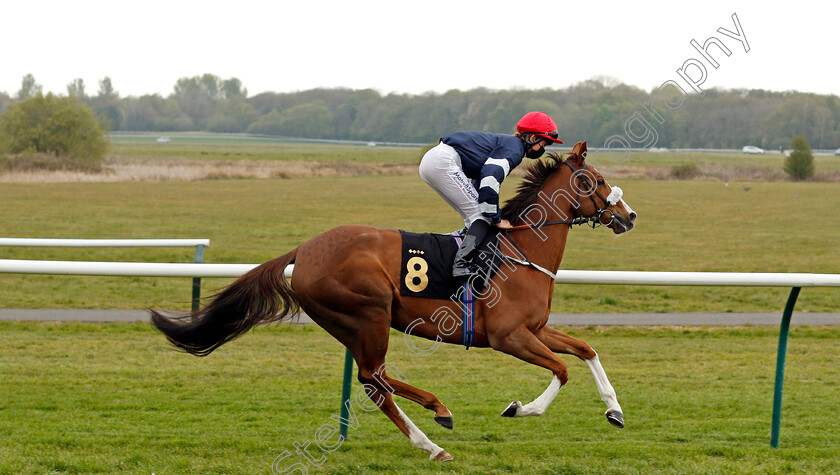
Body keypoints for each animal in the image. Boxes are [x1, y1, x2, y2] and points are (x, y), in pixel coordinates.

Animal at [151, 140, 636, 462]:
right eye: (596, 180)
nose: (628, 215)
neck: (521, 249)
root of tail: (304, 250)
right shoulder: (508, 336)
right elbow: (562, 369)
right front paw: (520, 408)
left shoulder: (534, 329)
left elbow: (586, 350)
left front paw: (614, 410)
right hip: (369, 312)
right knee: (373, 378)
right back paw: (434, 431)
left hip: (351, 323)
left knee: (376, 381)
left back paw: (434, 425)